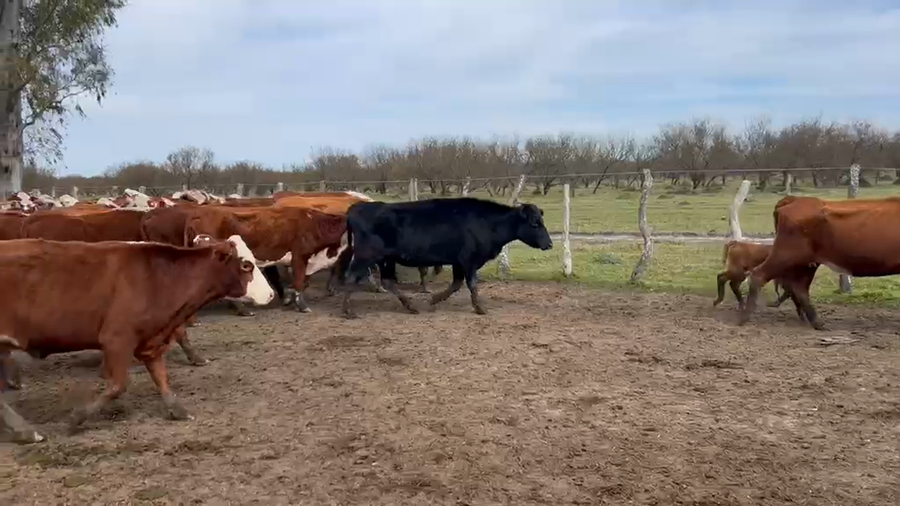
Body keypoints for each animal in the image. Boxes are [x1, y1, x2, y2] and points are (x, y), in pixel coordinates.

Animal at [0, 235, 274, 435]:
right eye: (246, 265)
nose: (271, 294)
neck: (158, 277)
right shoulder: (116, 340)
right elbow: (118, 386)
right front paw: (76, 418)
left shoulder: (151, 340)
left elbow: (161, 377)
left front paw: (177, 409)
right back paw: (26, 430)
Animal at [338, 197, 553, 318]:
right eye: (535, 223)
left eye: (542, 221)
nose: (549, 244)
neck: (486, 221)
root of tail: (358, 208)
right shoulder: (468, 261)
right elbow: (471, 284)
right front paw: (480, 308)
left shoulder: (458, 262)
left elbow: (456, 284)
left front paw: (434, 299)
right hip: (367, 255)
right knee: (351, 277)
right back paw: (348, 311)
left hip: (386, 259)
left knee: (388, 281)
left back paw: (411, 306)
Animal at [739, 195, 890, 330]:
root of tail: (794, 199)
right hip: (787, 256)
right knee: (760, 275)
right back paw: (744, 317)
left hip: (806, 263)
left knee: (798, 287)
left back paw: (814, 321)